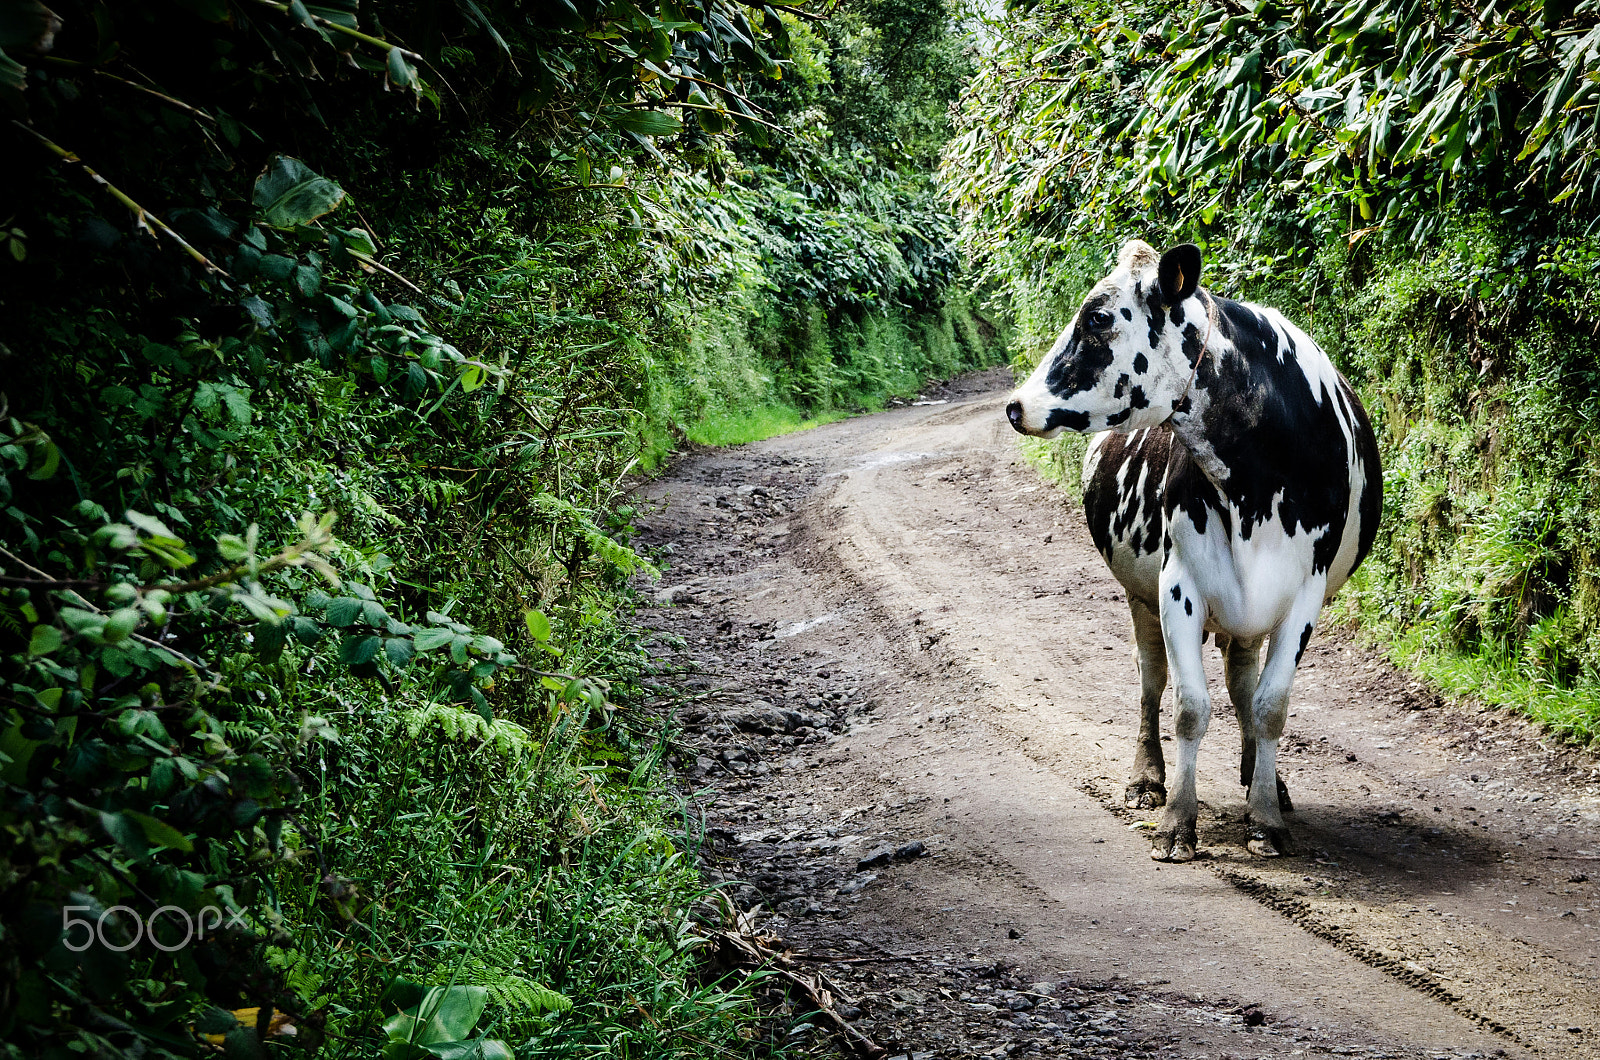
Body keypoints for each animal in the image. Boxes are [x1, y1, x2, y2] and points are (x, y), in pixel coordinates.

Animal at [1004, 240, 1382, 864]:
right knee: (1152, 679)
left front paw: (1265, 817)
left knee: (1243, 684)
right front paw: (1177, 822)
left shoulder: (1305, 593)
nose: (1015, 406)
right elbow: (1189, 707)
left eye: (1098, 319)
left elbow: (1269, 707)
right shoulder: (1178, 586)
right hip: (1140, 595)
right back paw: (1146, 778)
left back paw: (1263, 781)